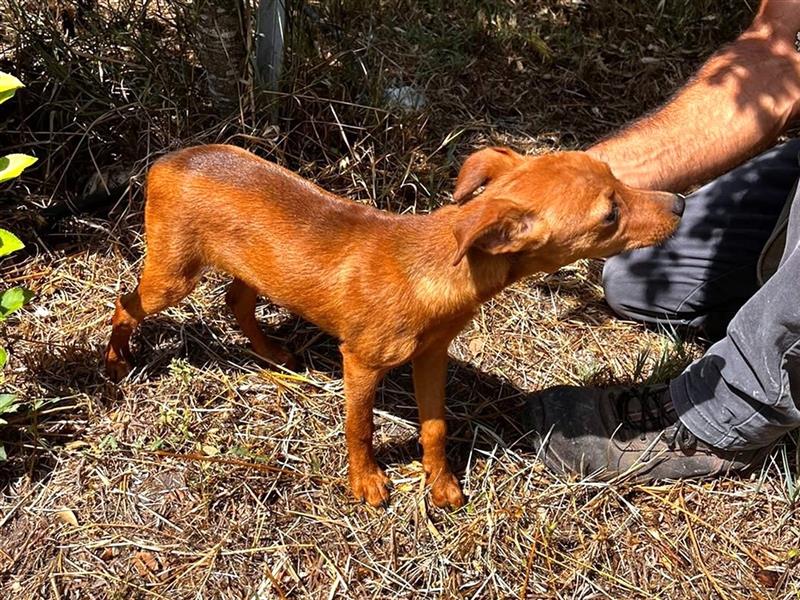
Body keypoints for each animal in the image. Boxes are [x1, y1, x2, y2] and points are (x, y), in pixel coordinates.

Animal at [104, 144, 680, 506]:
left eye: (615, 174)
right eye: (609, 216)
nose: (680, 203)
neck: (433, 269)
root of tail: (167, 162)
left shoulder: (431, 357)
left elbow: (435, 426)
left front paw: (440, 483)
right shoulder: (360, 362)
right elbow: (359, 427)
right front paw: (366, 482)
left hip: (253, 267)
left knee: (236, 303)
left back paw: (275, 357)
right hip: (172, 276)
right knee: (125, 301)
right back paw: (115, 363)